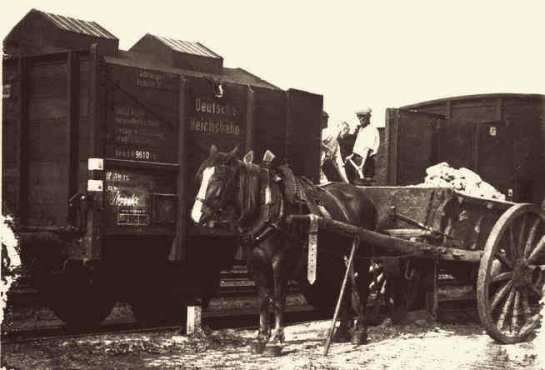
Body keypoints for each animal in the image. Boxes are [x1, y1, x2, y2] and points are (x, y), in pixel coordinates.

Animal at [191, 145, 378, 352]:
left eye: (218, 178)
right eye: (201, 177)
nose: (196, 215)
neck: (266, 210)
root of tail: (364, 196)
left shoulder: (280, 262)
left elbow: (279, 299)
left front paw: (276, 339)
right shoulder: (255, 263)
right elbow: (264, 299)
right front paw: (261, 338)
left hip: (361, 254)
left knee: (361, 287)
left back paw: (360, 332)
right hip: (333, 258)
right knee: (342, 287)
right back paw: (341, 331)